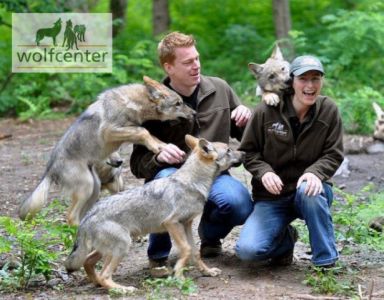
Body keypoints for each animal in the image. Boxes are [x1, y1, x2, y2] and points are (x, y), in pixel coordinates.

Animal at [18, 75, 194, 225]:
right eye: (178, 103)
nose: (194, 113)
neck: (131, 104)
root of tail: (49, 169)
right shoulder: (110, 131)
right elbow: (143, 132)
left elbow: (152, 137)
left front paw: (164, 148)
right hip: (87, 187)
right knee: (70, 216)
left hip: (93, 189)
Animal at [63, 135, 243, 292]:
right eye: (228, 150)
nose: (244, 153)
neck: (192, 183)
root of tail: (88, 215)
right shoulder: (172, 223)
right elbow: (185, 250)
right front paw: (179, 276)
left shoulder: (186, 224)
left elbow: (194, 252)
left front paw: (207, 271)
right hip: (122, 246)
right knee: (104, 275)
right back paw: (123, 290)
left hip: (108, 249)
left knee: (88, 262)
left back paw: (97, 283)